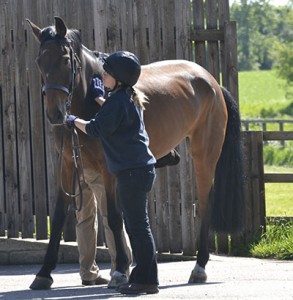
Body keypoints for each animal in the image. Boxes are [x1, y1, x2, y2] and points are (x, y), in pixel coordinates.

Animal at [26, 17, 244, 290]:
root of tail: (212, 82)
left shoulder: (108, 169)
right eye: (39, 61)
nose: (55, 114)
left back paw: (199, 267)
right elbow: (57, 217)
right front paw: (43, 273)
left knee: (205, 204)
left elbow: (114, 218)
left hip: (204, 155)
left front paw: (120, 270)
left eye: (65, 59)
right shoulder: (66, 164)